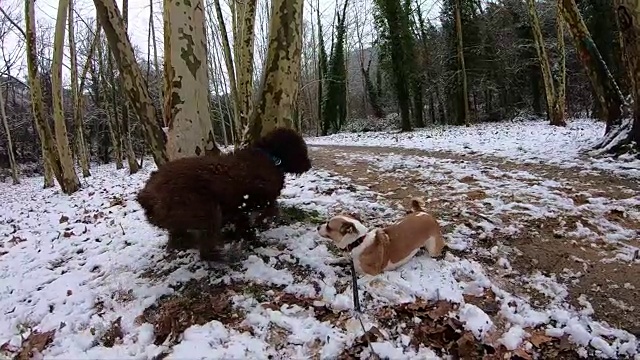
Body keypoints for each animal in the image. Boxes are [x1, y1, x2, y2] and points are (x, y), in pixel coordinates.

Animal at [318, 197, 448, 276]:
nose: (318, 227)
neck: (358, 242)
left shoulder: (372, 274)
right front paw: (331, 259)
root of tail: (424, 213)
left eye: (328, 226)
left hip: (433, 249)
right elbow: (340, 258)